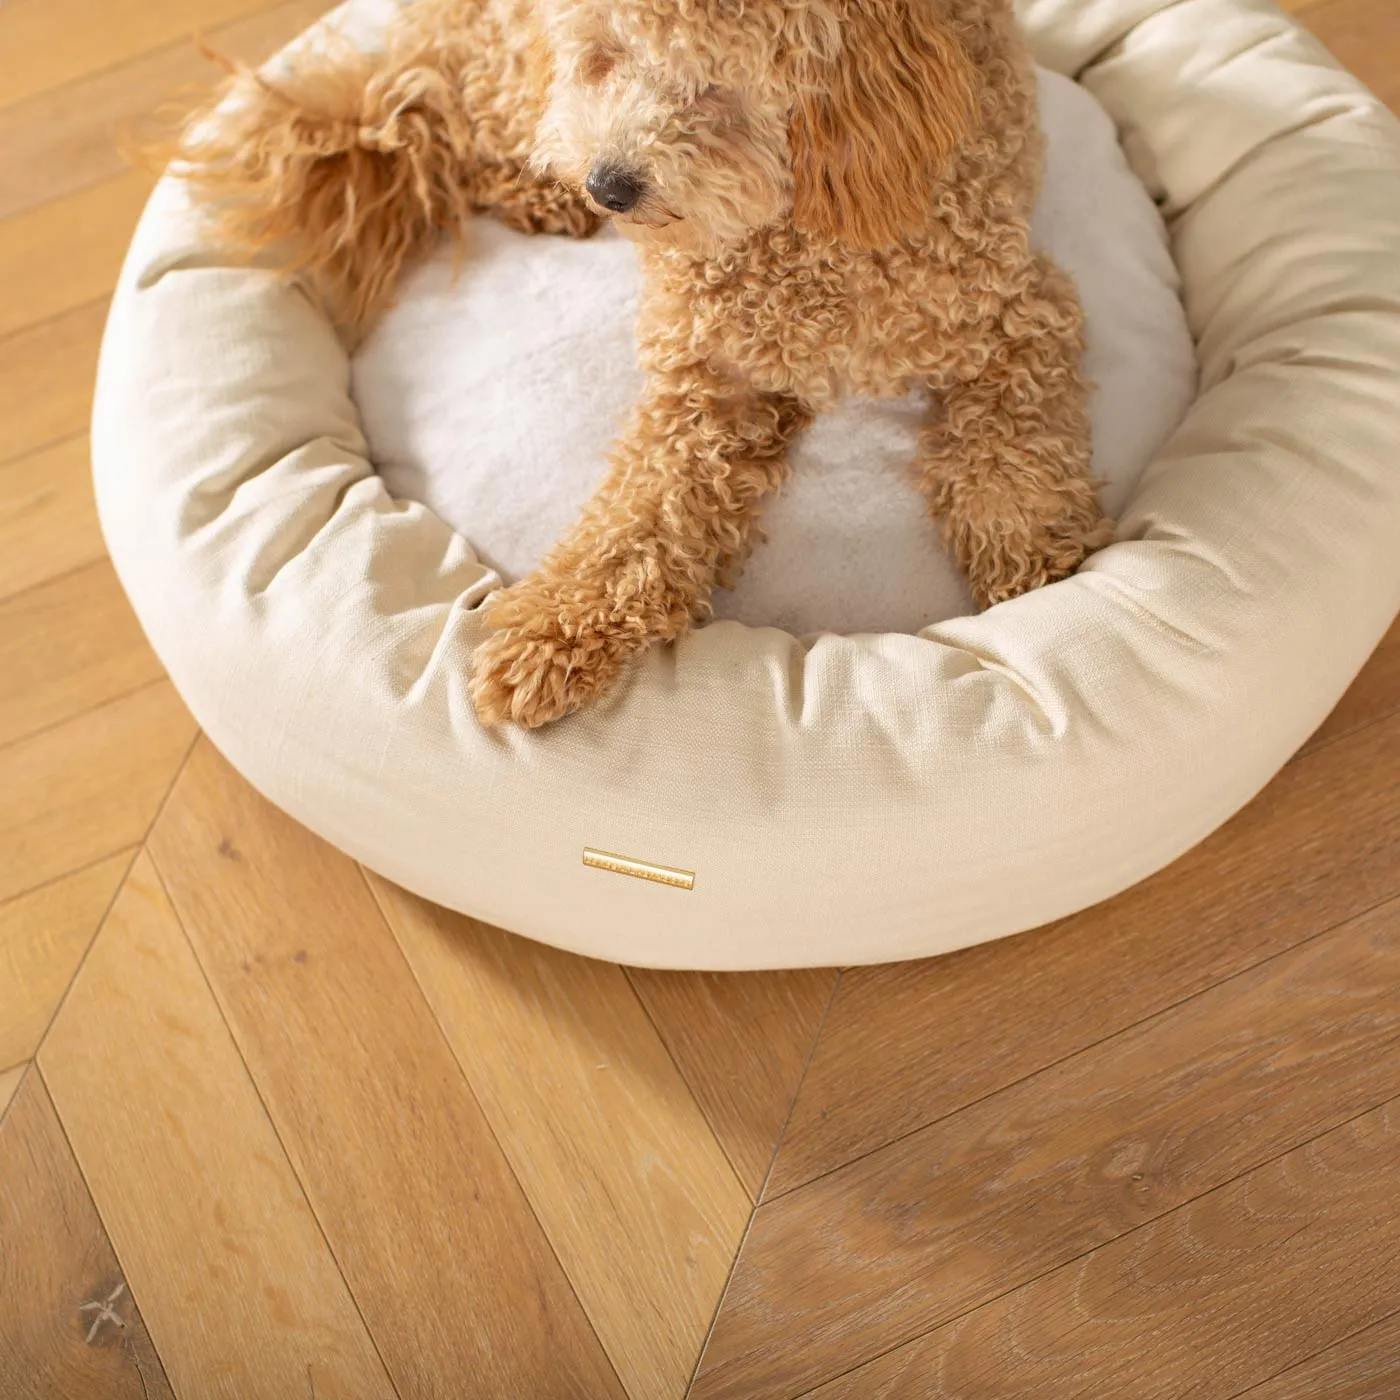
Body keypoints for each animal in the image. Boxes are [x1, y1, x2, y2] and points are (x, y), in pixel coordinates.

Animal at [177, 2, 1114, 733]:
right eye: (607, 54)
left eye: (715, 82)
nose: (609, 185)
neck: (805, 228)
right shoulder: (707, 386)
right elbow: (637, 523)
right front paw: (547, 639)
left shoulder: (1014, 316)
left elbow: (1010, 449)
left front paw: (1033, 566)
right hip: (513, 74)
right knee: (443, 130)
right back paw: (535, 192)